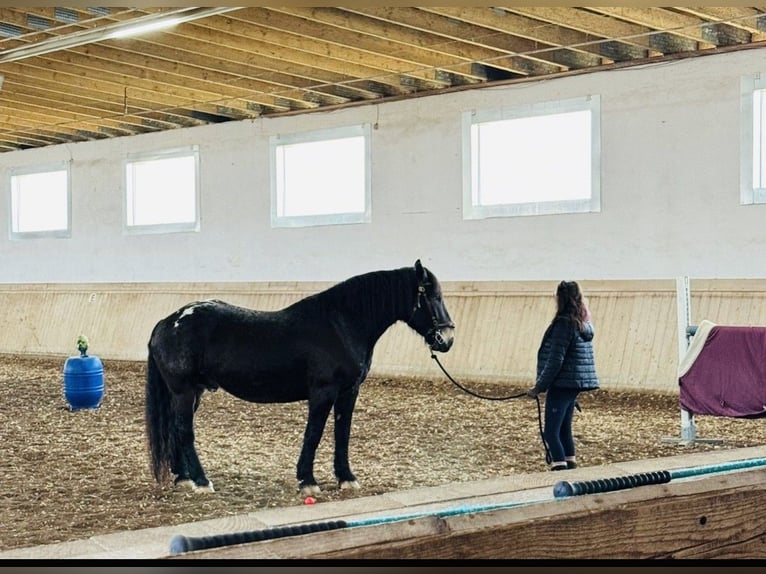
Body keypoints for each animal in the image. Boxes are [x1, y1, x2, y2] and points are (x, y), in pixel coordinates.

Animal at [144, 259, 455, 496]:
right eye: (432, 296)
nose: (447, 339)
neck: (340, 326)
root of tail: (166, 322)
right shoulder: (323, 392)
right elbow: (314, 433)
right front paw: (307, 481)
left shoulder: (349, 392)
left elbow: (342, 434)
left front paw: (346, 478)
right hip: (184, 391)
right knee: (184, 431)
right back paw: (202, 481)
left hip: (191, 393)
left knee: (175, 429)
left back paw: (183, 478)